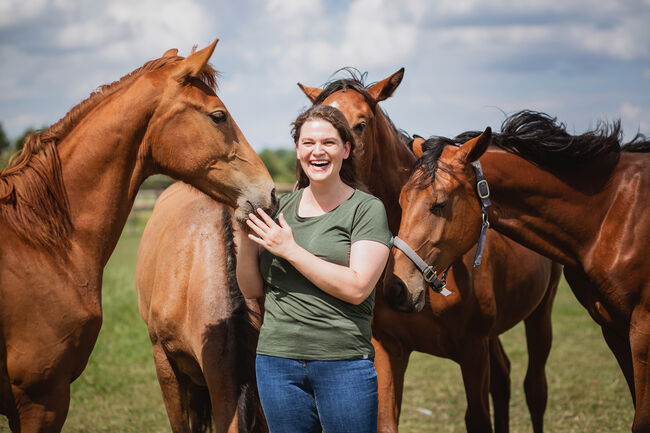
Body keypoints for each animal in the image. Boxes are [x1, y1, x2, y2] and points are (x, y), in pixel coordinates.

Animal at [296, 71, 560, 432]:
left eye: (360, 124)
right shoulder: (389, 347)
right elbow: (385, 419)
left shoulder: (472, 351)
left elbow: (478, 417)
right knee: (503, 378)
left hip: (539, 315)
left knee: (535, 389)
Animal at [384, 109, 648, 430]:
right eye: (401, 201)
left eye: (439, 205)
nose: (396, 288)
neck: (609, 212)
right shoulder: (614, 329)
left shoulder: (641, 332)